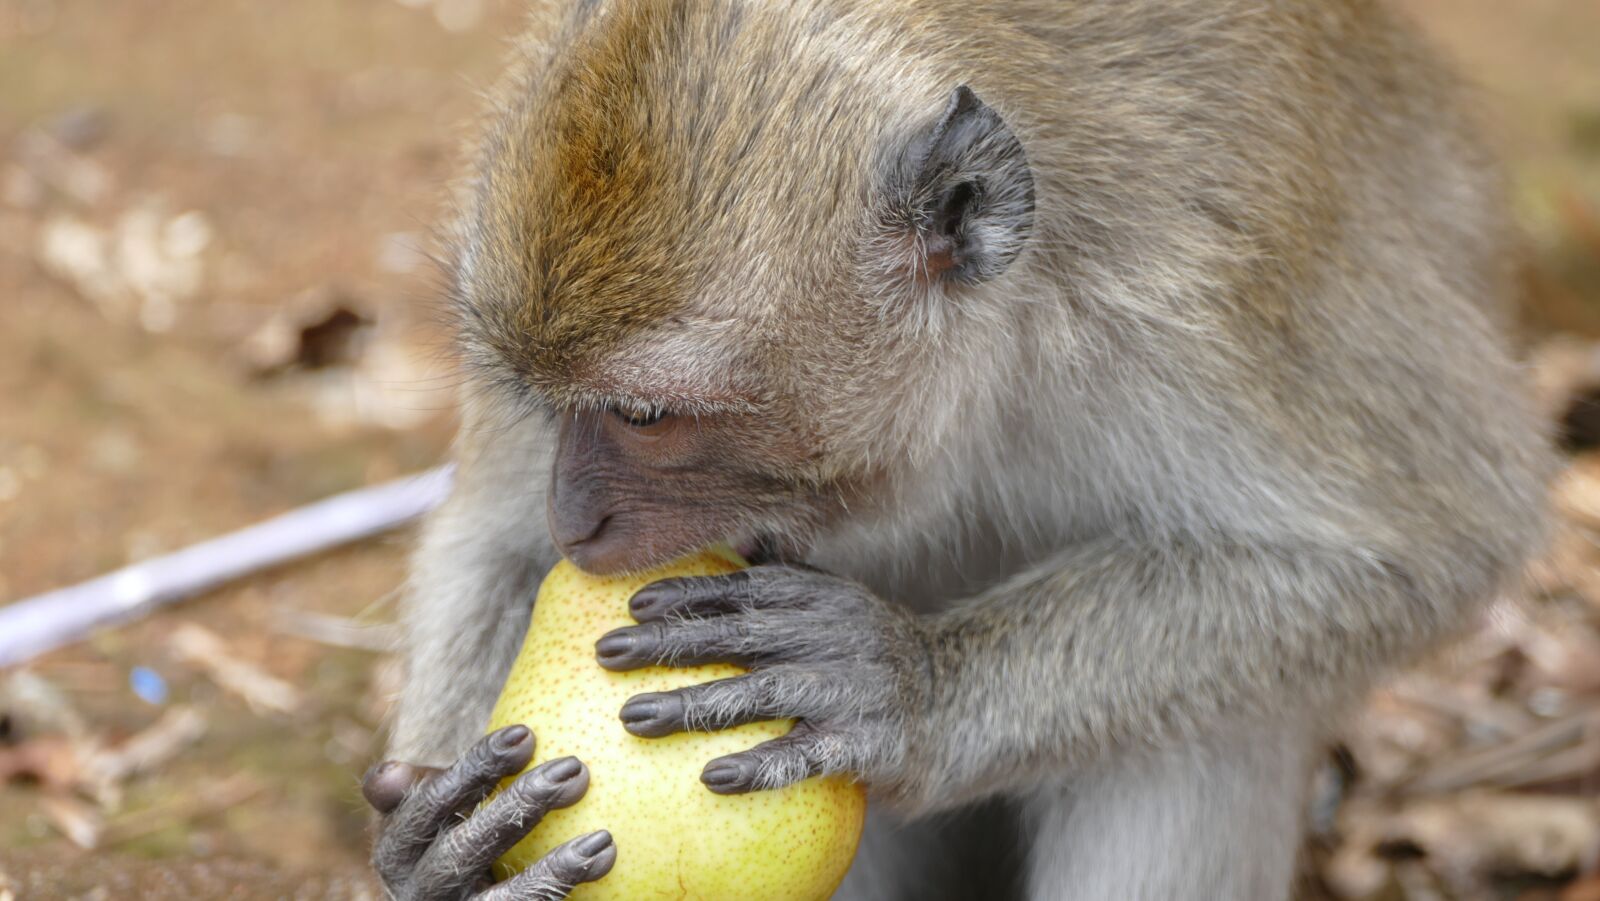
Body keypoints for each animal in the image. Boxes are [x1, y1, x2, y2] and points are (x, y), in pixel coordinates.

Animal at [361, 0, 1553, 898]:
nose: (578, 516)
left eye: (646, 418)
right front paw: (443, 841)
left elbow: (1419, 546)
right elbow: (489, 542)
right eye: (537, 396)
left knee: (1201, 734)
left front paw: (906, 682)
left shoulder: (1220, 299)